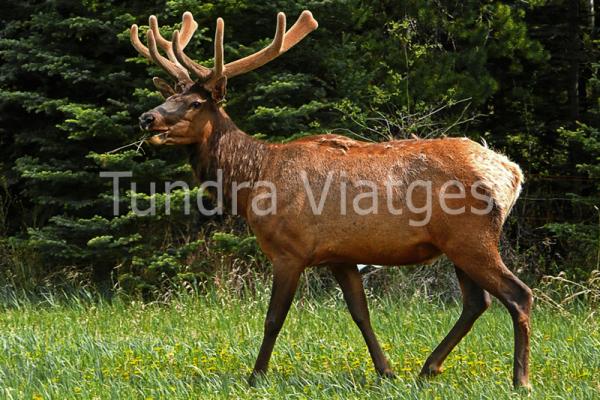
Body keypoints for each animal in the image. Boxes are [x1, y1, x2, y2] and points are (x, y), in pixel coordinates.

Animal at [129, 9, 532, 390]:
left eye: (195, 102)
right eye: (168, 96)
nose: (147, 117)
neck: (253, 181)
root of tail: (512, 174)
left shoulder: (290, 250)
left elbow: (274, 318)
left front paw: (255, 376)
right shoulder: (341, 255)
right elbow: (360, 313)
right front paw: (387, 372)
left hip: (471, 237)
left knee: (518, 294)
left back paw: (520, 379)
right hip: (457, 244)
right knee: (477, 302)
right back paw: (428, 368)